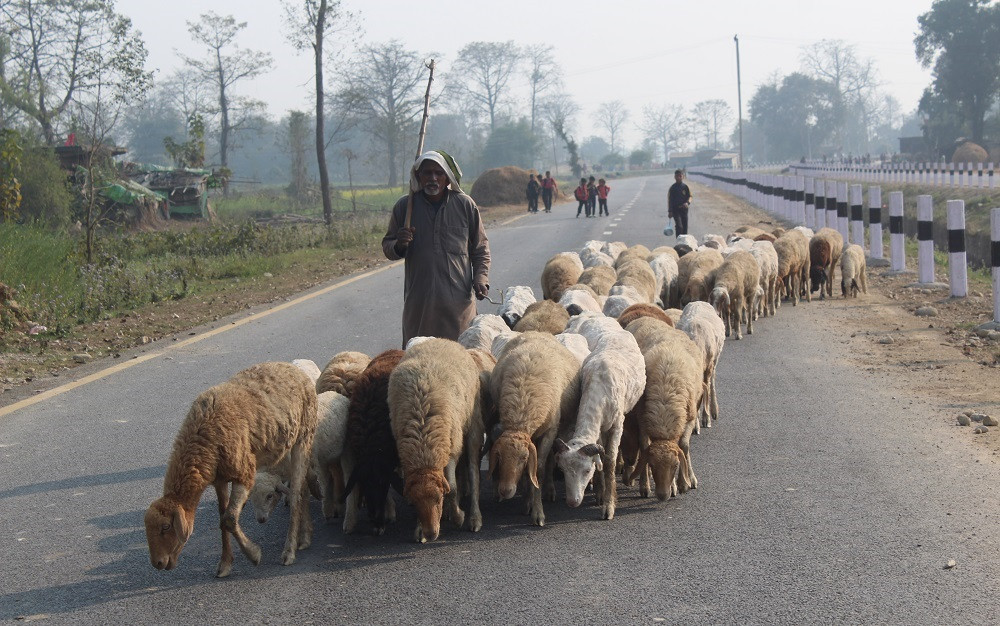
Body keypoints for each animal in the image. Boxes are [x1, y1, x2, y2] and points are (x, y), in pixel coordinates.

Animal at [144, 360, 316, 576]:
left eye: (166, 526)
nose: (157, 563)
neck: (203, 440)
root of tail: (291, 367)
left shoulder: (245, 473)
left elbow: (229, 518)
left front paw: (253, 554)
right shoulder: (219, 479)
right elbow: (221, 518)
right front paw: (225, 563)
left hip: (304, 437)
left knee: (295, 496)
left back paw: (289, 550)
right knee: (303, 489)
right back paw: (305, 536)